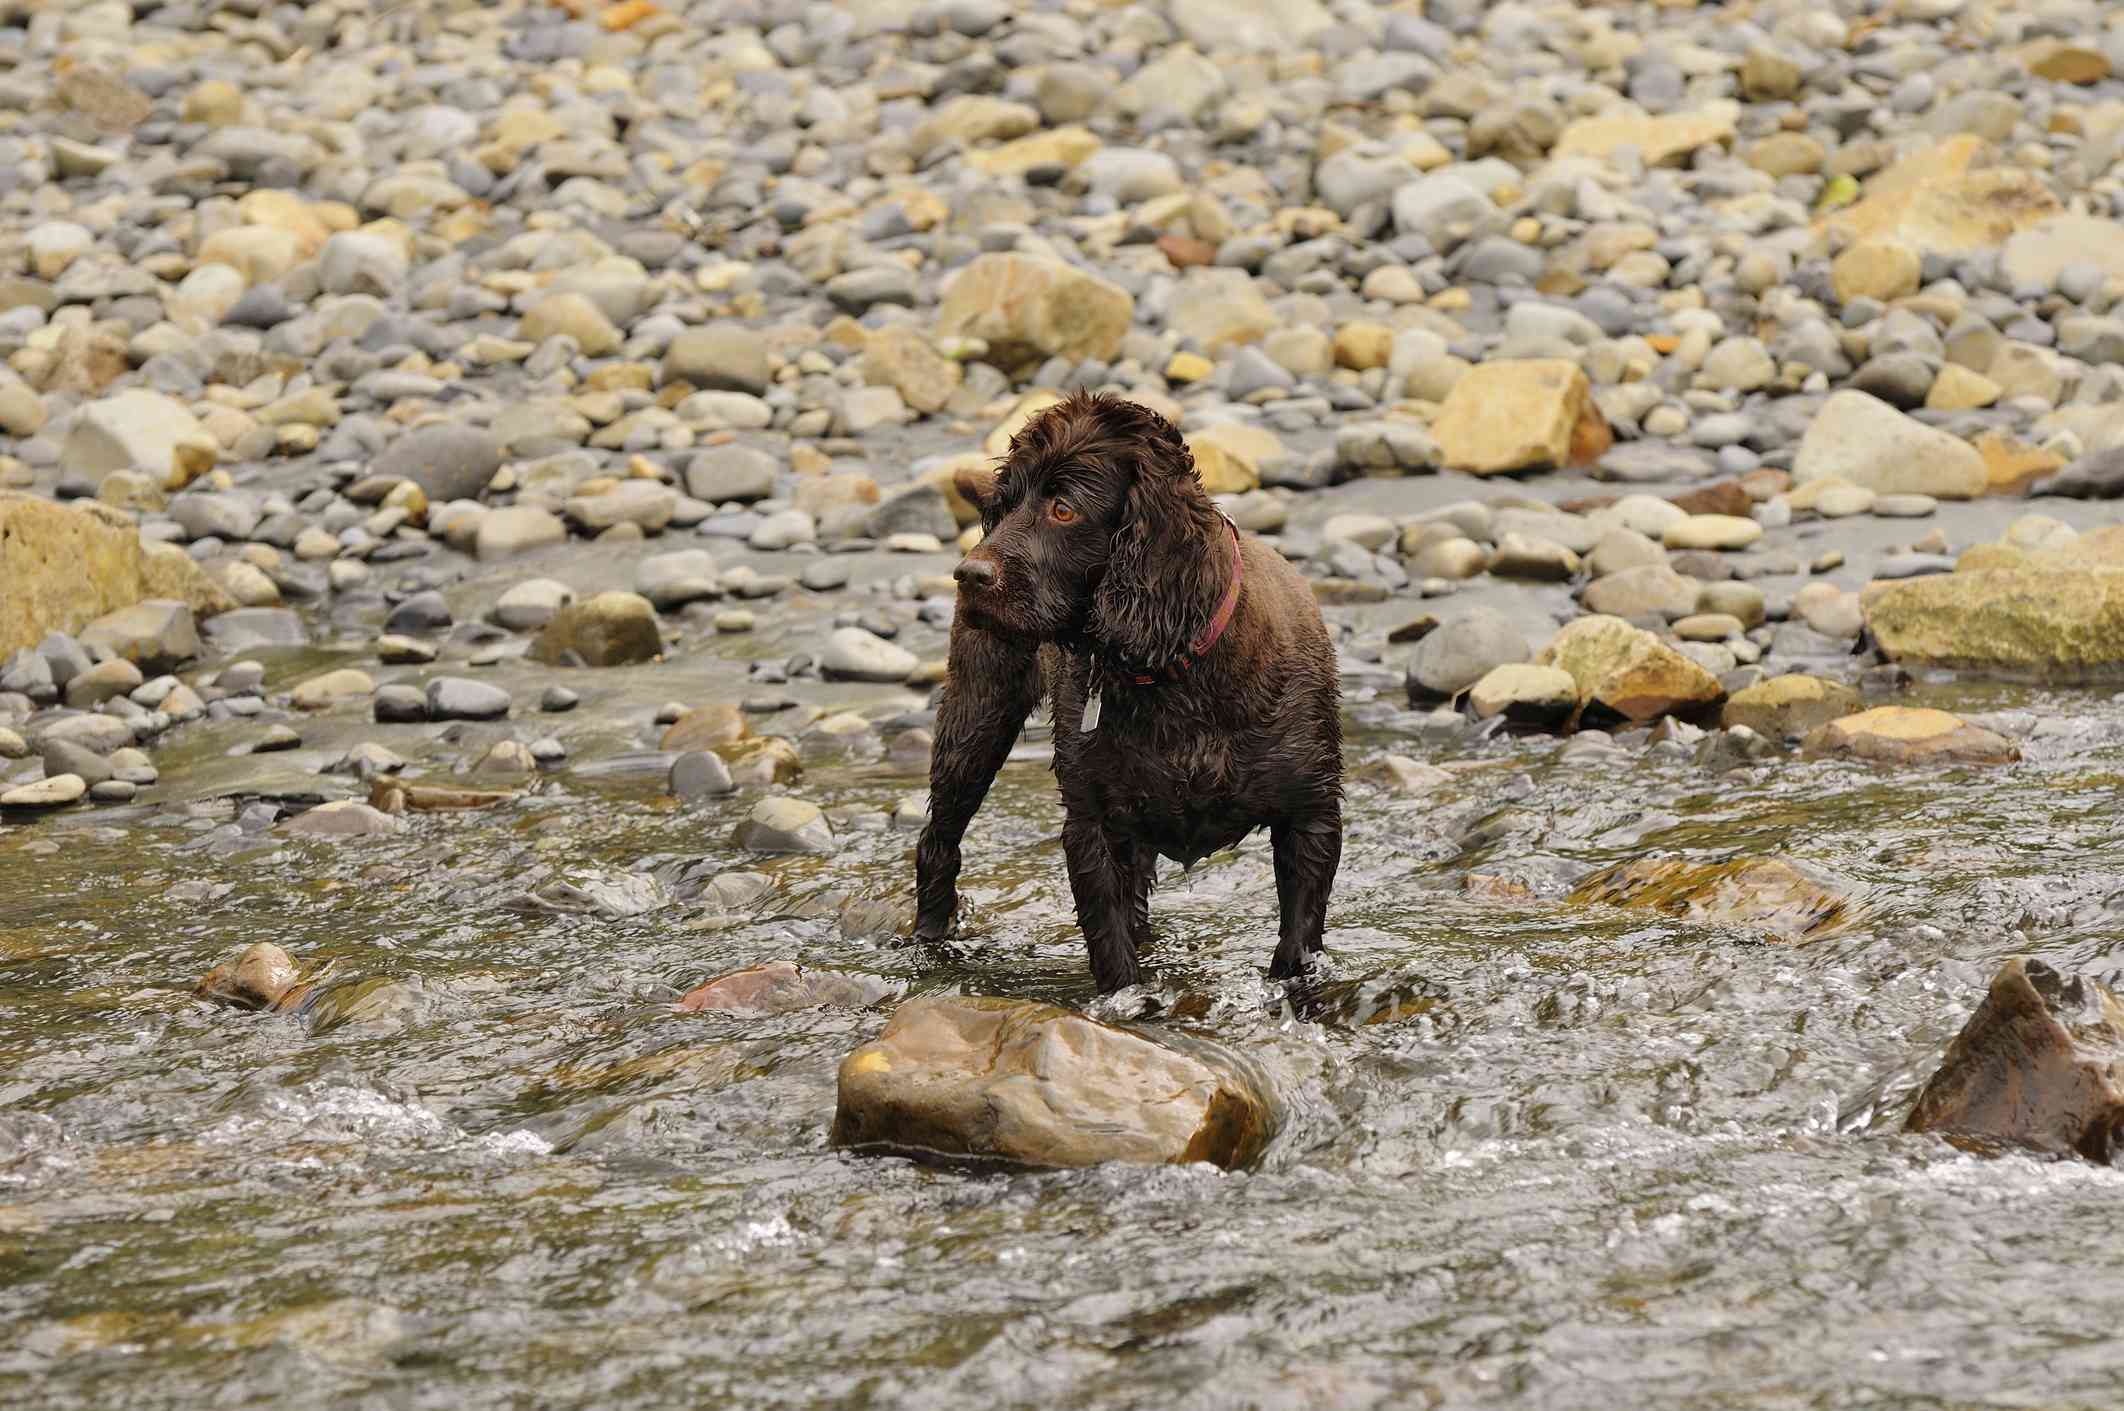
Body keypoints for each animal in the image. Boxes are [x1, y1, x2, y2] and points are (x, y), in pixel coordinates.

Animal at [913, 391, 1342, 990]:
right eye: (1006, 503)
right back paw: (929, 943)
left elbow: (1298, 942)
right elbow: (1112, 949)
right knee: (938, 841)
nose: (968, 575)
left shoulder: (1312, 815)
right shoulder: (1091, 827)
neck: (1175, 674)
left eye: (1064, 509)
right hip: (976, 718)